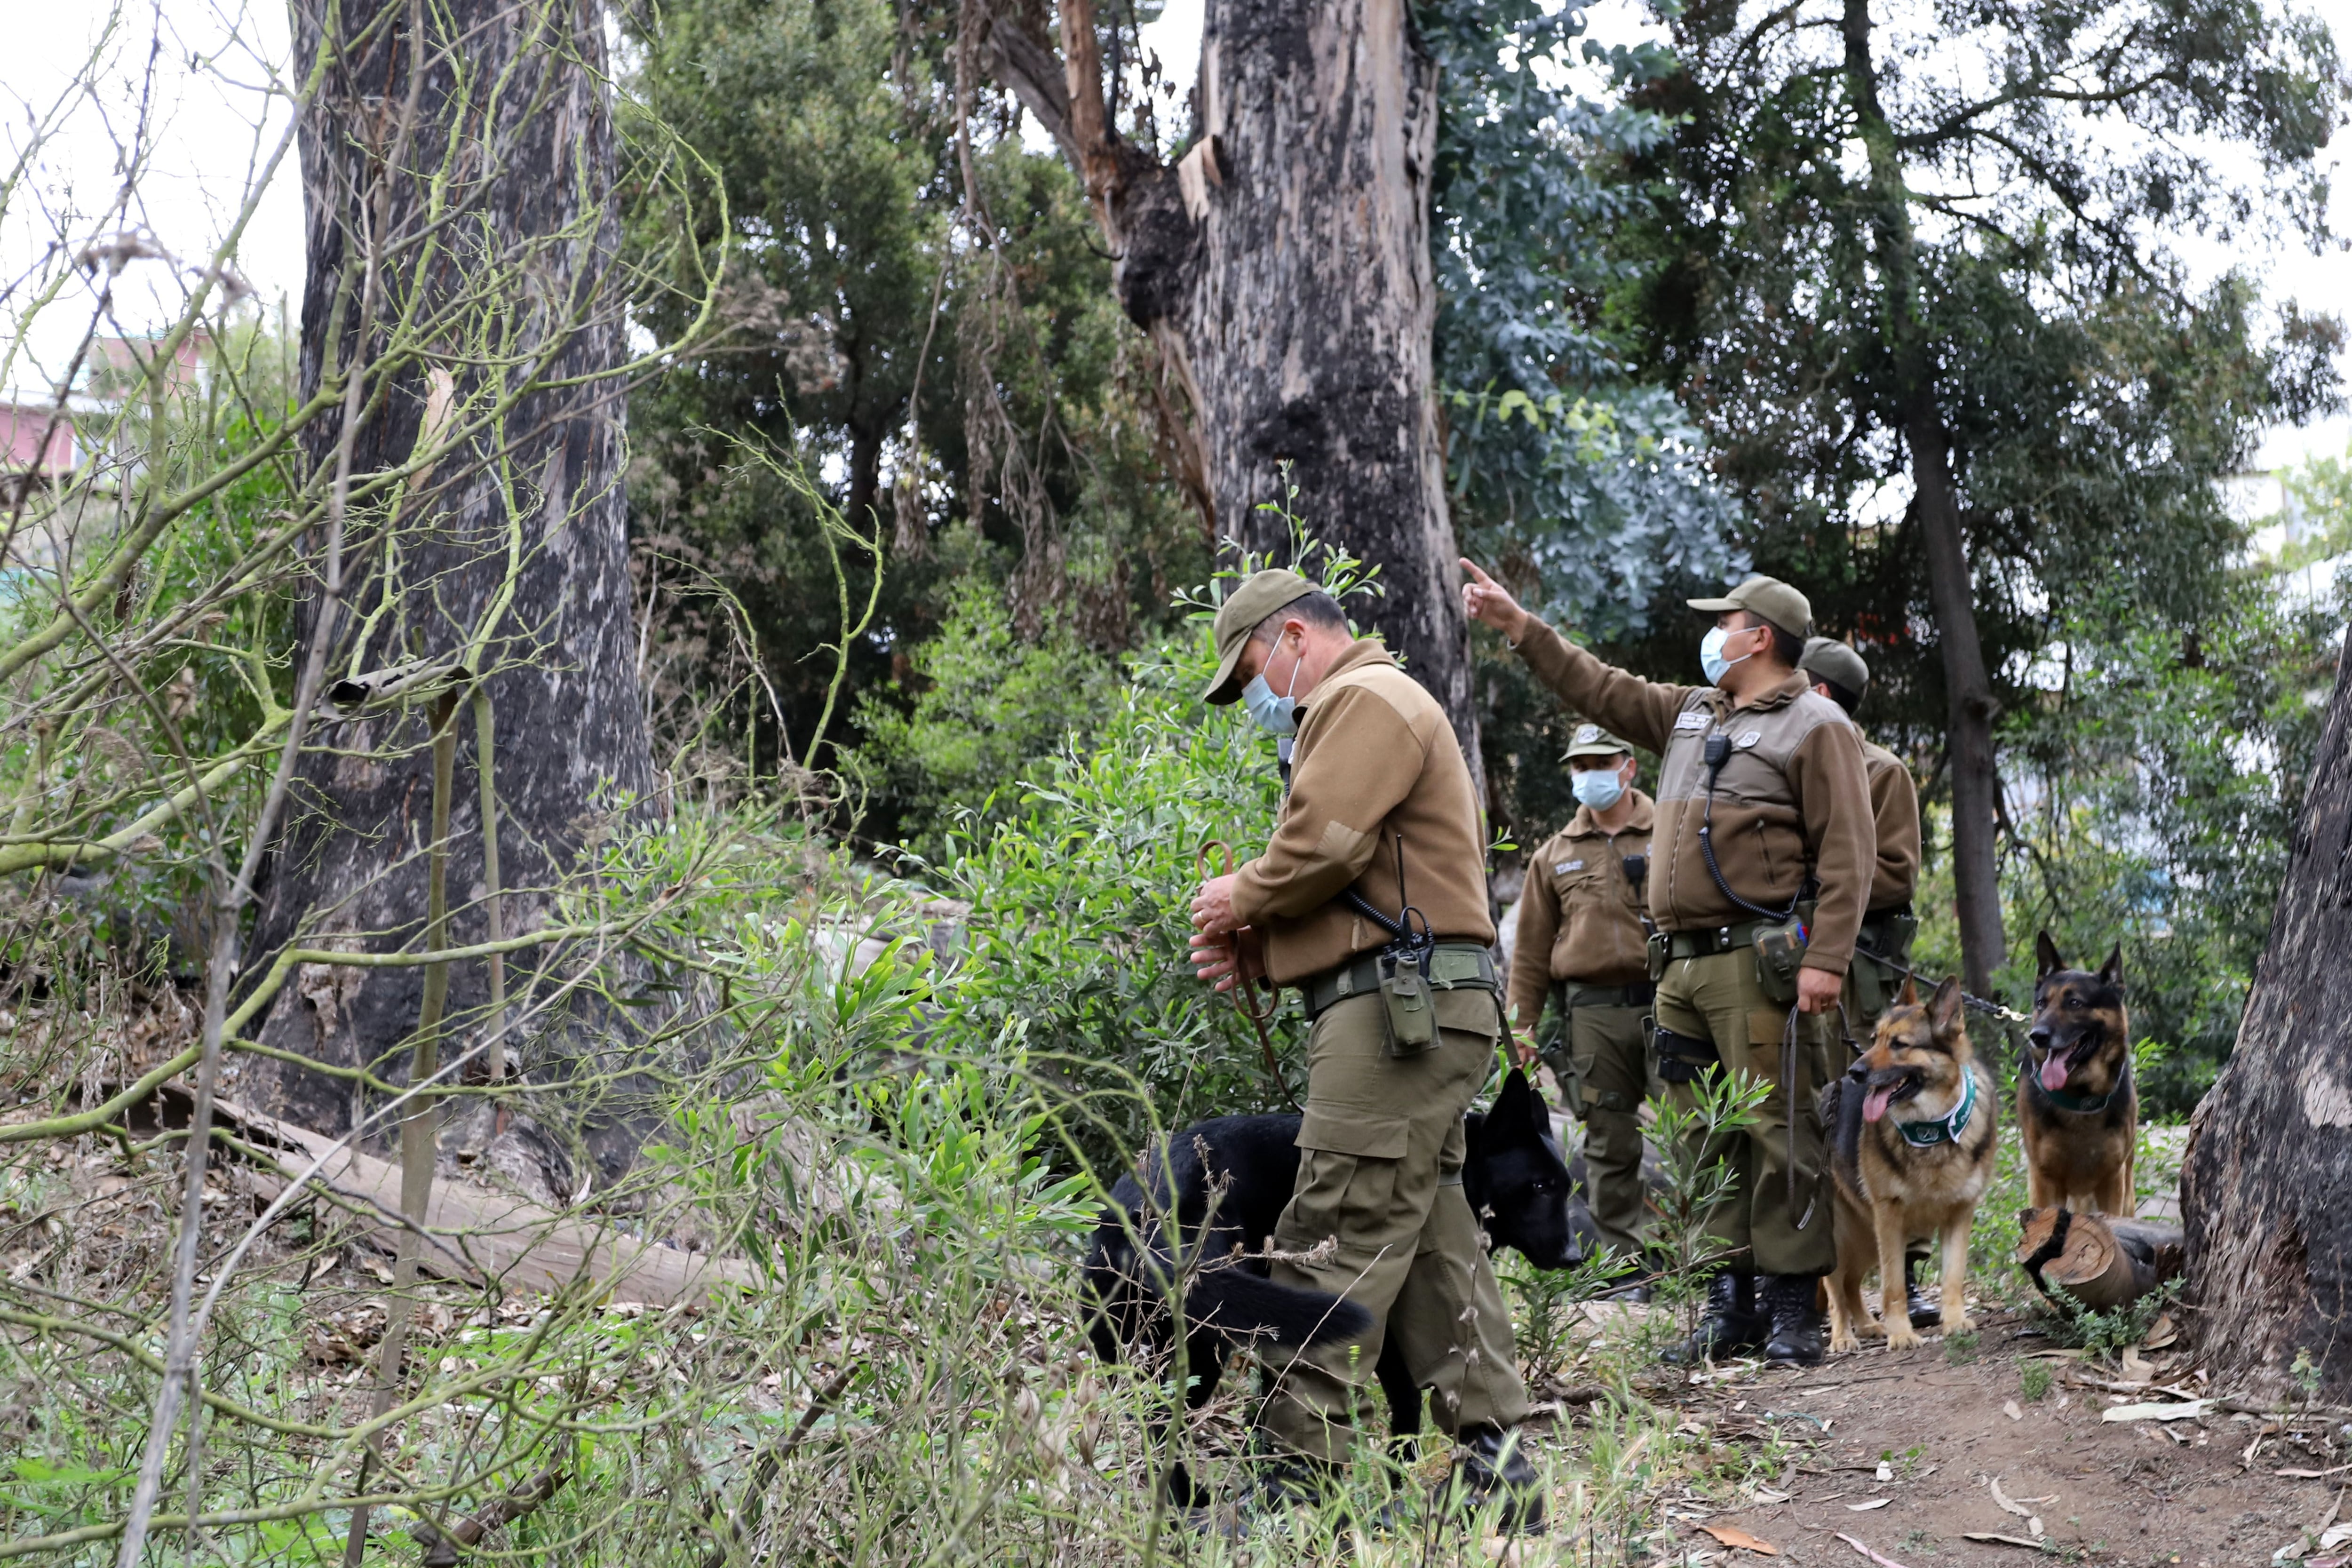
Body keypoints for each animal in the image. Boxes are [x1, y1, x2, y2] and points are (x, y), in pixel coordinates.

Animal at [1082, 1072, 1581, 1504]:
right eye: (1540, 1186)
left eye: (1566, 1187)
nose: (1576, 1256)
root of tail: (1139, 1218)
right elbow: (1405, 1398)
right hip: (1207, 1345)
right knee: (1164, 1420)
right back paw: (1189, 1504)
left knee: (1145, 1418)